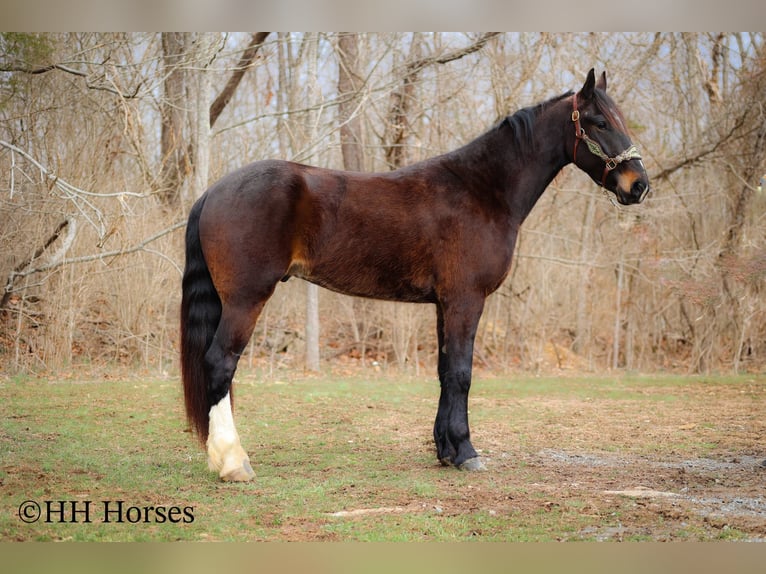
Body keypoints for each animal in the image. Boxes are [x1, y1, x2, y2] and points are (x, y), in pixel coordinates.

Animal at [181, 69, 650, 481]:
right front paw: (467, 453)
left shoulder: (445, 304)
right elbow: (461, 373)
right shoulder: (466, 299)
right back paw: (233, 462)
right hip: (246, 299)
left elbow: (445, 371)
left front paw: (446, 451)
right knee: (220, 363)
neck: (482, 191)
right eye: (598, 121)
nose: (639, 184)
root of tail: (213, 191)